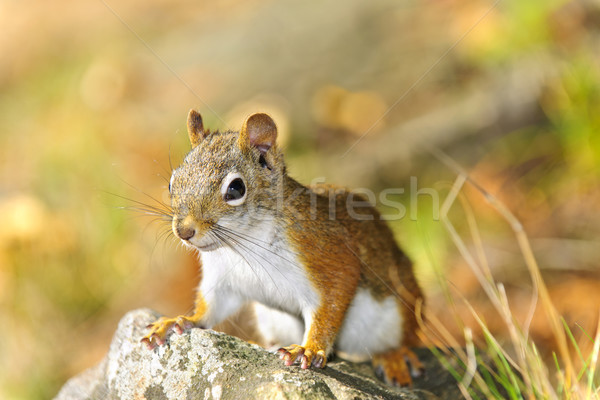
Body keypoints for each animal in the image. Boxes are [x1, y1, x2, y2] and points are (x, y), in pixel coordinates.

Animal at [140, 108, 424, 386]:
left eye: (236, 188)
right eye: (172, 182)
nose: (184, 231)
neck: (241, 243)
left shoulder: (325, 253)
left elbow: (331, 302)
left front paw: (309, 349)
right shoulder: (223, 280)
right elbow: (210, 308)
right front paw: (180, 320)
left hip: (397, 312)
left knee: (405, 338)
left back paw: (394, 357)